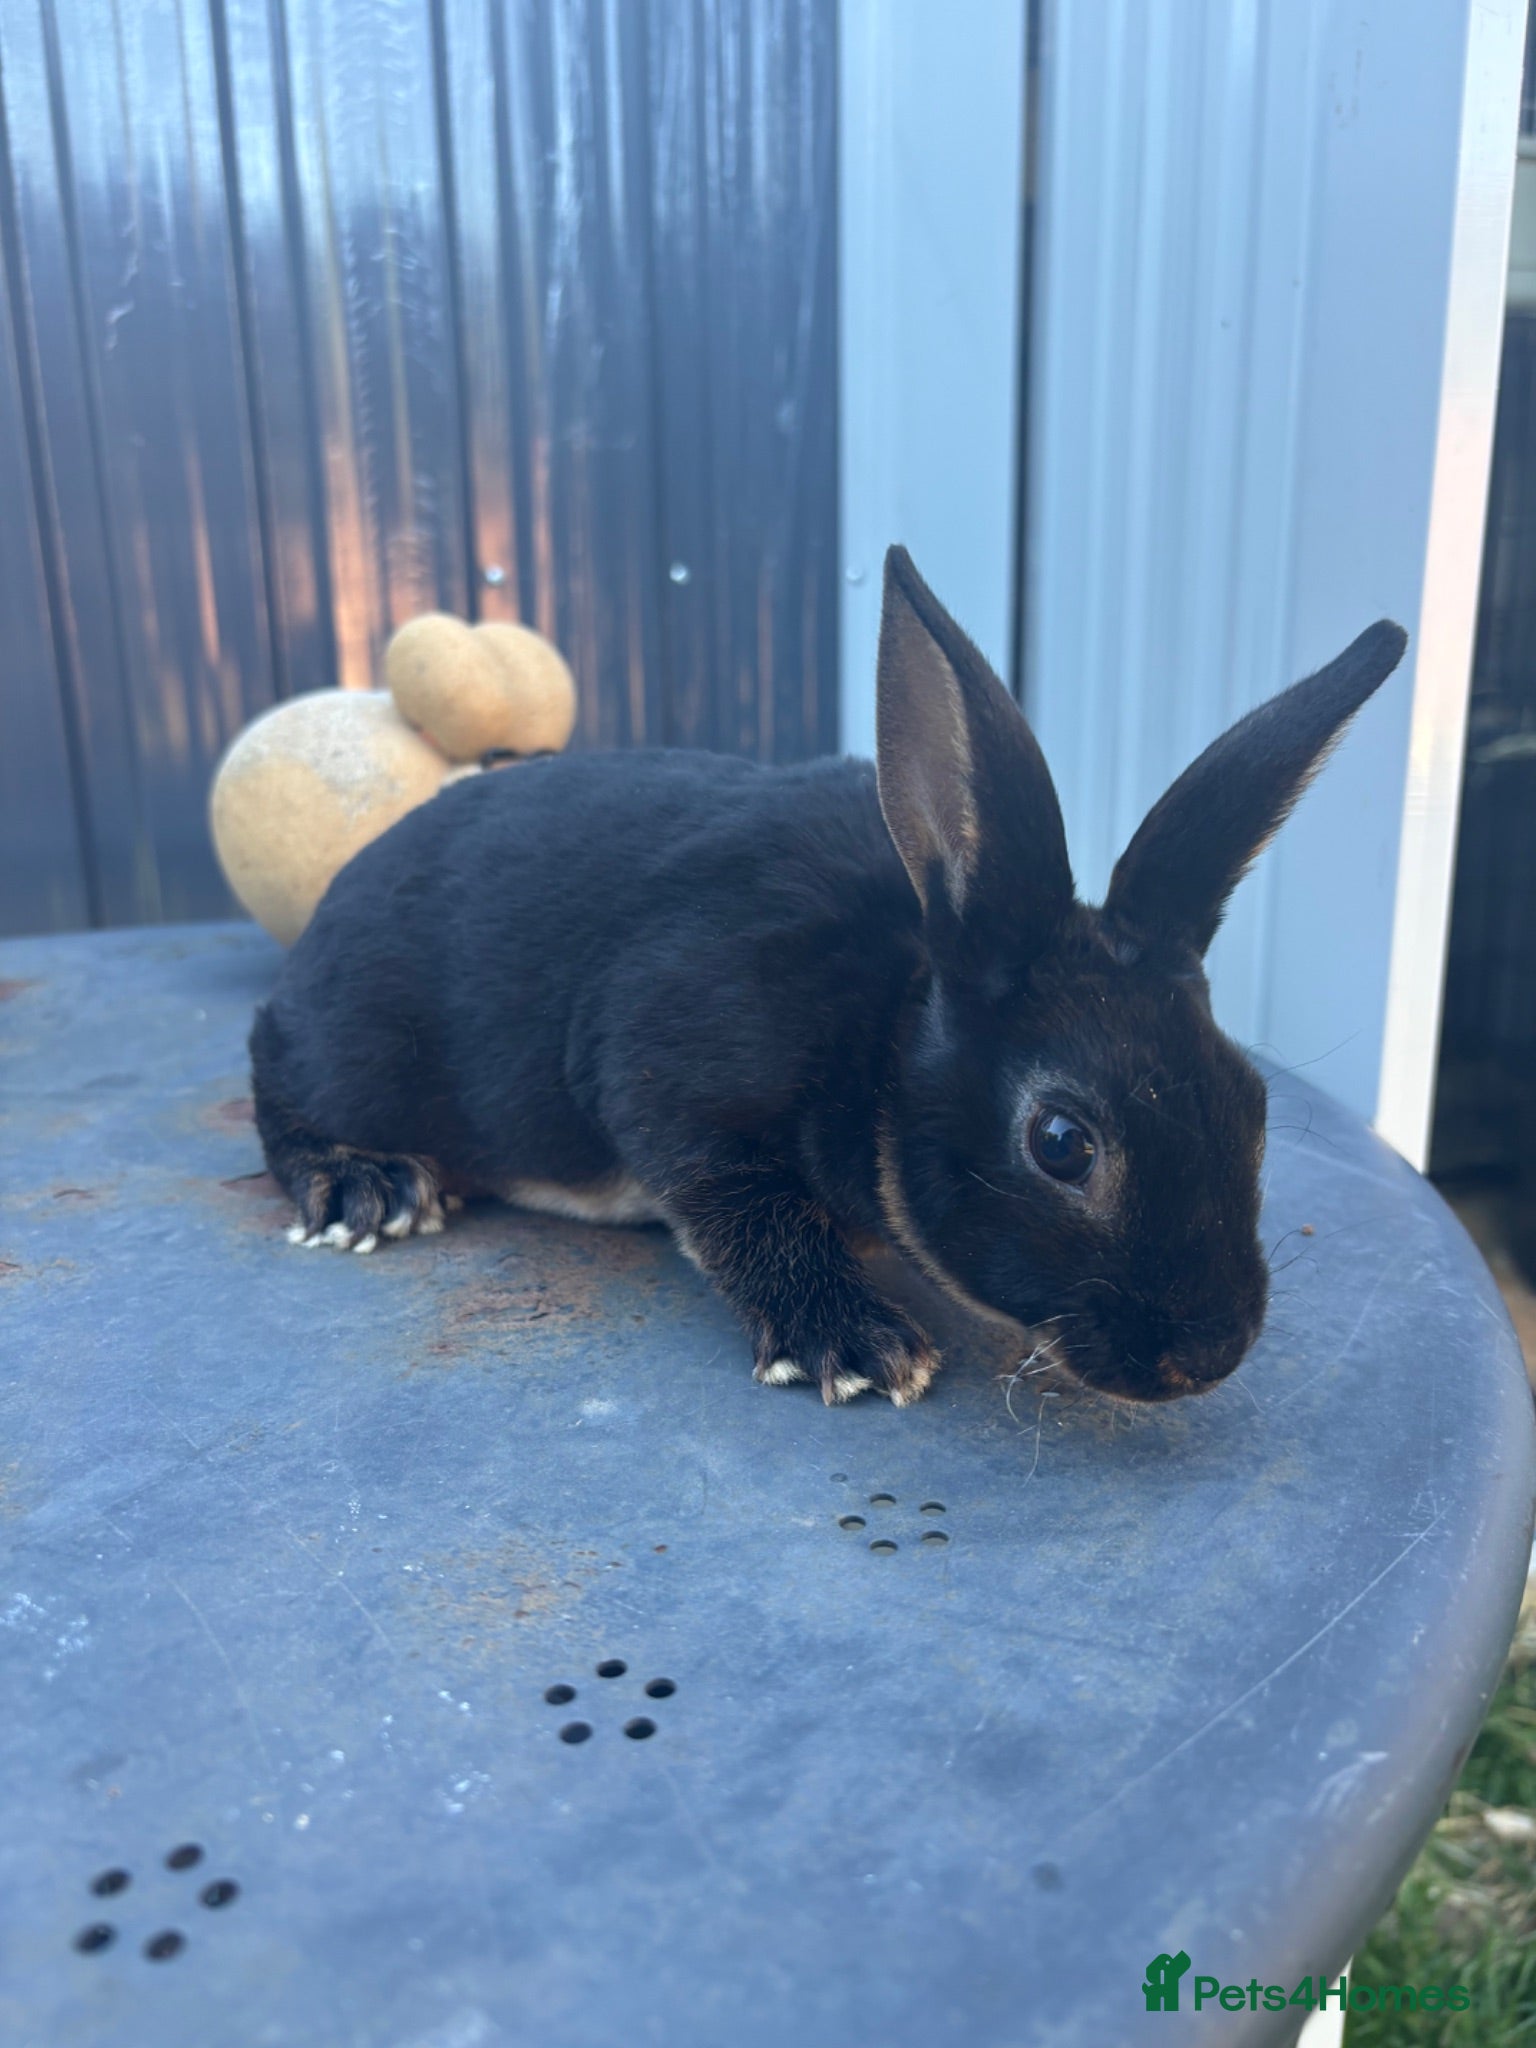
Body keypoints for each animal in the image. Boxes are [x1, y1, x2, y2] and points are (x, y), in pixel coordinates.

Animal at [249, 546, 1406, 1407]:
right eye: (1063, 1144)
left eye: (1253, 1104)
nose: (1209, 1352)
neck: (883, 1025)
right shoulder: (674, 1064)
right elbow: (741, 1204)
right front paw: (853, 1341)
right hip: (359, 1046)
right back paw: (363, 1184)